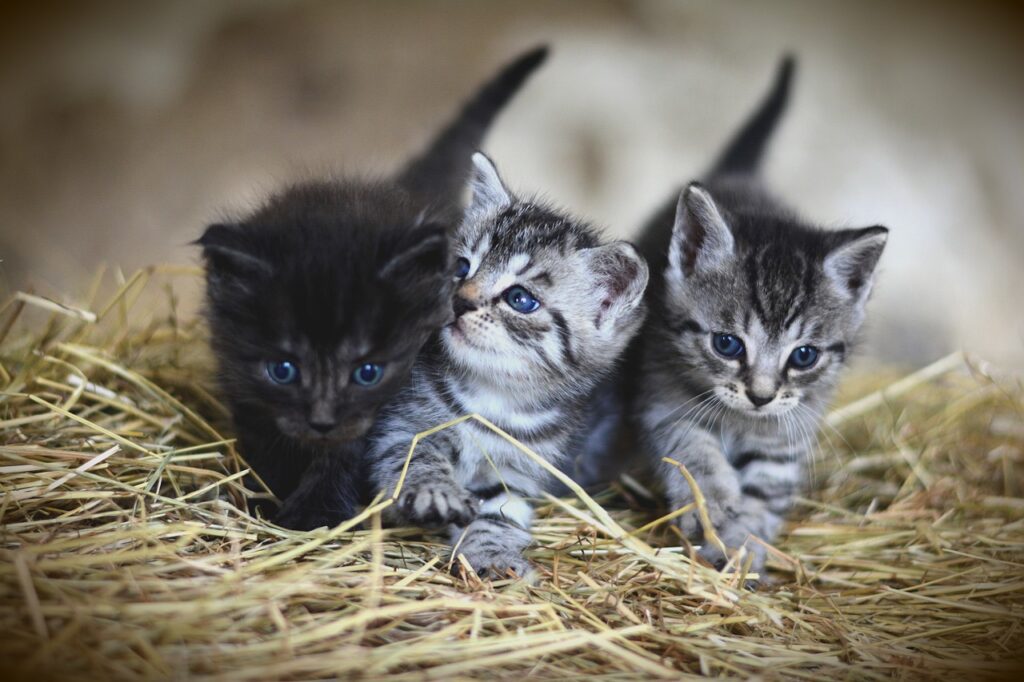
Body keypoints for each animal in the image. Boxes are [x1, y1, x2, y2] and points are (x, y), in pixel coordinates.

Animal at [201, 47, 552, 528]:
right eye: (283, 370)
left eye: (367, 372)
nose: (323, 422)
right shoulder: (243, 385)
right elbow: (265, 440)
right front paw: (268, 493)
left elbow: (347, 453)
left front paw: (315, 512)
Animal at [370, 151, 647, 577]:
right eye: (461, 268)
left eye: (520, 299)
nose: (460, 301)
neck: (493, 395)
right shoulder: (400, 426)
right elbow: (414, 457)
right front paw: (435, 490)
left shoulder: (518, 472)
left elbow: (498, 514)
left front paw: (493, 556)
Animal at [630, 57, 888, 569]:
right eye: (727, 344)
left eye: (804, 356)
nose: (761, 396)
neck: (741, 421)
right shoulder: (660, 394)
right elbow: (690, 447)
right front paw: (712, 504)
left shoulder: (788, 431)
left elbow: (766, 490)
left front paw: (744, 545)